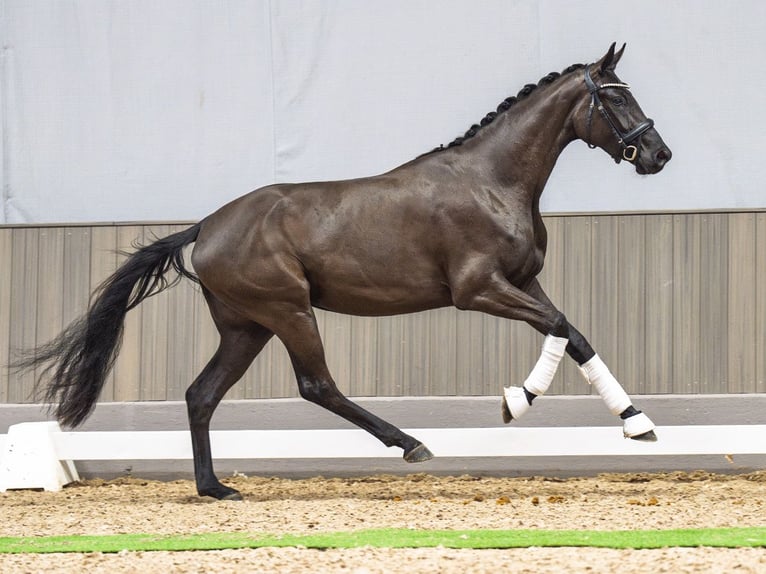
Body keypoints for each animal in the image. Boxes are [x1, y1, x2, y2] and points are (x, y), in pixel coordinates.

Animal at [15, 45, 668, 502]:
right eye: (615, 98)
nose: (658, 155)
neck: (493, 181)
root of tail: (206, 227)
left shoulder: (523, 282)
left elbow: (573, 333)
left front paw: (637, 424)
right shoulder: (478, 289)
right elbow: (559, 327)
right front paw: (516, 402)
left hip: (246, 327)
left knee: (202, 394)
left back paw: (216, 488)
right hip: (288, 311)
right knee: (316, 385)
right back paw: (411, 446)